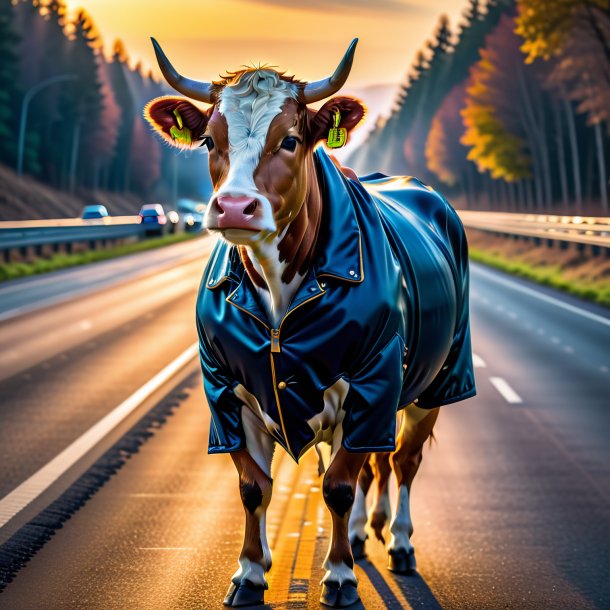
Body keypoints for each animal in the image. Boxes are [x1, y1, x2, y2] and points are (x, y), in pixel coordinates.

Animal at [144, 39, 476, 608]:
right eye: (209, 139)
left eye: (291, 140)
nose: (234, 207)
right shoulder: (227, 390)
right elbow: (254, 487)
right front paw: (249, 574)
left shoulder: (372, 381)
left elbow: (337, 487)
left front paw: (339, 577)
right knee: (373, 464)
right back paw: (364, 533)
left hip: (434, 384)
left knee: (403, 463)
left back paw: (400, 543)